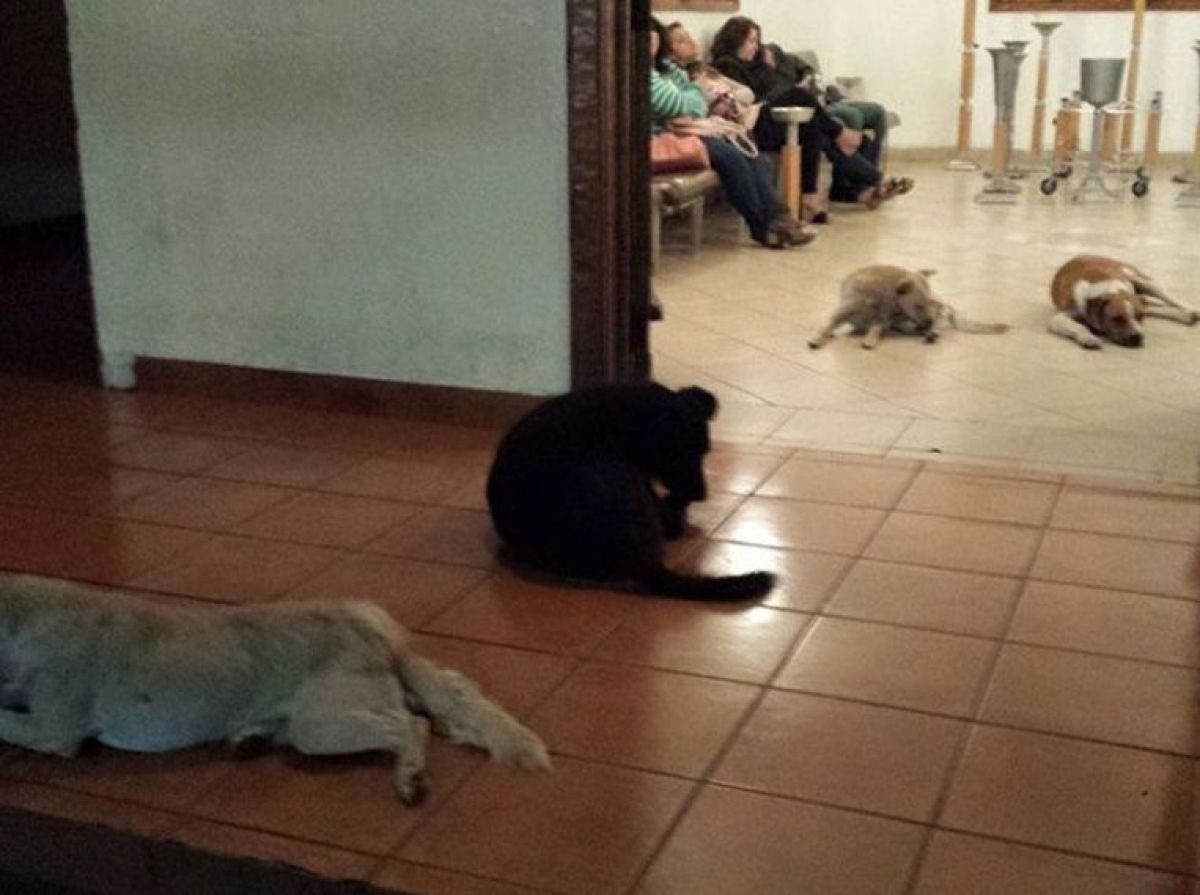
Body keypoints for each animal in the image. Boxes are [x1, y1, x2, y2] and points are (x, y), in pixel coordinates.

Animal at [0, 574, 550, 804]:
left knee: (410, 725)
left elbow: (8, 720)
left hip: (320, 724)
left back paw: (410, 779)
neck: (26, 617)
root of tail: (377, 632)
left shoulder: (53, 727)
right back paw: (250, 738)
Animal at [808, 265, 1009, 350]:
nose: (927, 321)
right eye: (918, 305)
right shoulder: (839, 315)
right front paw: (818, 338)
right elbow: (826, 328)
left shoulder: (881, 321)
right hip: (907, 324)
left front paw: (870, 340)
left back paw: (932, 332)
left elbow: (875, 328)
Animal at [1049, 254, 1199, 349]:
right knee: (1152, 307)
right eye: (1117, 318)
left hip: (1144, 281)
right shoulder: (1060, 317)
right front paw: (1087, 337)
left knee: (1171, 300)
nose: (1138, 337)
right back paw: (1185, 315)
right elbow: (1079, 326)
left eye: (1140, 317)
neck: (1111, 289)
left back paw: (1189, 311)